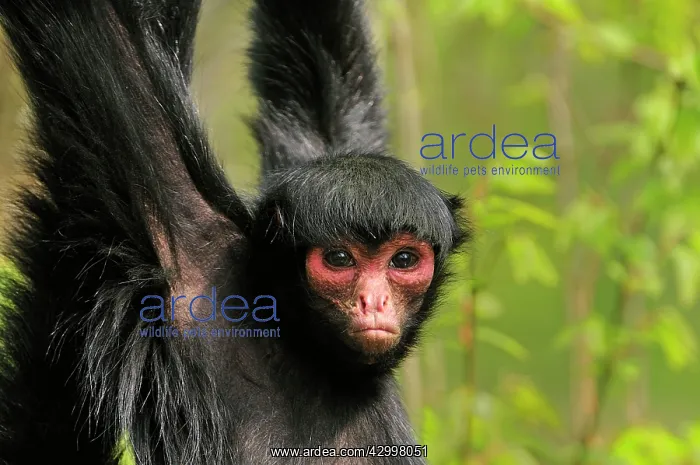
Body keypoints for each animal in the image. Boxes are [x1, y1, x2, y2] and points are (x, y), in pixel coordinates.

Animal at [0, 0, 468, 464]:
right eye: (339, 259)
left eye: (403, 259)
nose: (375, 300)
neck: (303, 350)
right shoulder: (188, 256)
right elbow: (99, 33)